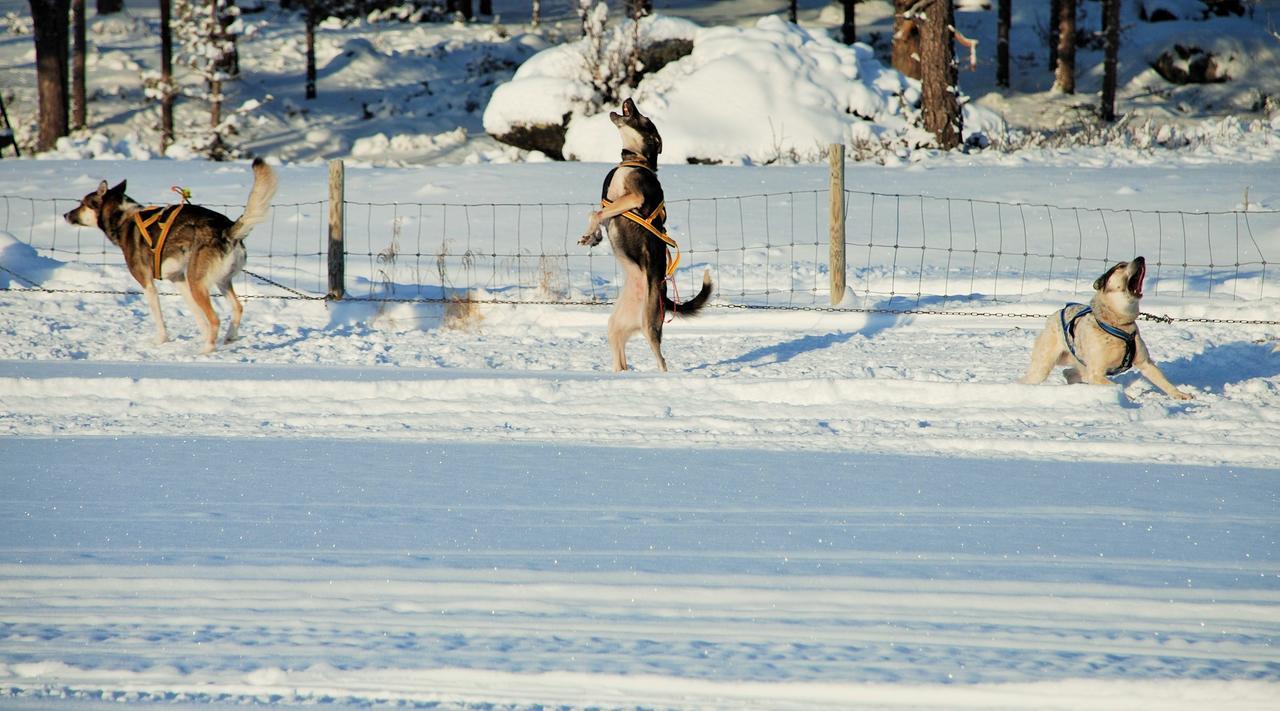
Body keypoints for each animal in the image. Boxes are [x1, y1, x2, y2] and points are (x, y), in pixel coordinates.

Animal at [63, 158, 279, 353]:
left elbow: (159, 318)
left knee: (215, 318)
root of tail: (226, 229)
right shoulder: (178, 279)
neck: (124, 219)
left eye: (82, 204)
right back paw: (228, 337)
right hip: (218, 281)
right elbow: (197, 316)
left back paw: (207, 349)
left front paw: (161, 340)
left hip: (198, 283)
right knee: (237, 308)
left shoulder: (147, 283)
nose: (65, 214)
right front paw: (203, 334)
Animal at [1018, 257, 1187, 399]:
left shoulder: (1145, 363)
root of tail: (1056, 314)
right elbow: (1114, 385)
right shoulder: (1097, 374)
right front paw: (1128, 398)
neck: (1118, 324)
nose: (1140, 258)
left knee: (1069, 373)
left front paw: (1180, 394)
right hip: (1043, 367)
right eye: (1120, 266)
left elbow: (1163, 381)